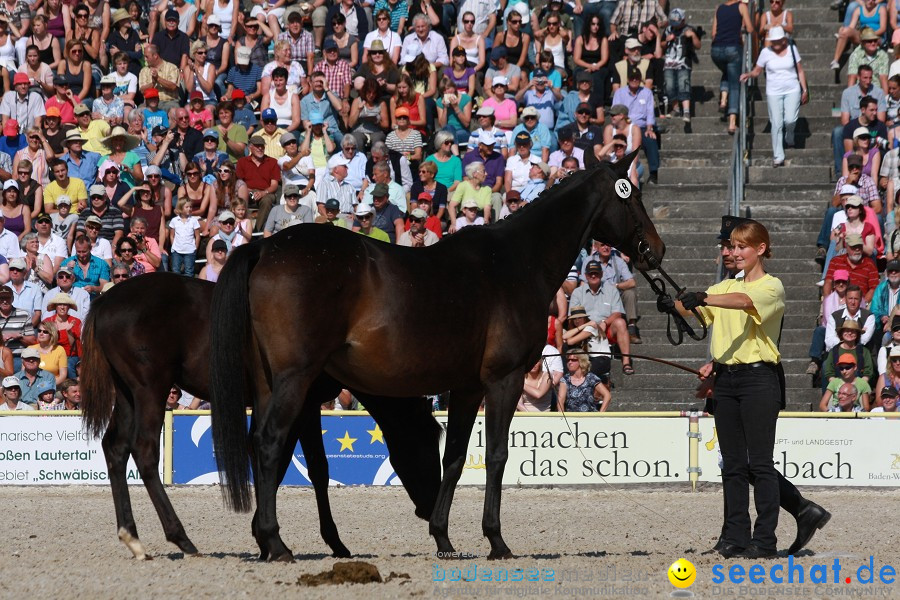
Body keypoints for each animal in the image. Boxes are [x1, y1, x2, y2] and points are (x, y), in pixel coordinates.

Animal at [81, 274, 440, 560]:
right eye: (427, 442)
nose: (430, 506)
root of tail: (106, 299)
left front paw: (265, 536)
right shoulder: (305, 404)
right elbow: (311, 468)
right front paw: (321, 541)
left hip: (126, 392)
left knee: (115, 448)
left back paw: (133, 537)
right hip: (149, 388)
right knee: (143, 450)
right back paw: (181, 537)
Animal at [207, 152, 664, 560]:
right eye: (633, 197)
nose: (656, 250)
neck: (517, 262)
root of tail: (266, 249)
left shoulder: (466, 387)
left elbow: (456, 457)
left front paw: (443, 537)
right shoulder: (505, 379)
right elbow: (496, 454)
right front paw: (496, 540)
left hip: (270, 382)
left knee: (261, 444)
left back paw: (268, 542)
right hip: (295, 379)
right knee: (269, 442)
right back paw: (276, 543)